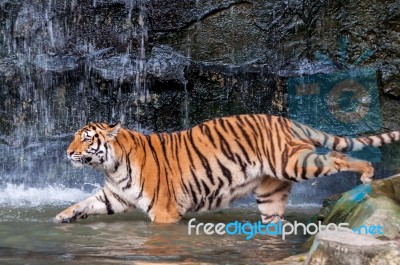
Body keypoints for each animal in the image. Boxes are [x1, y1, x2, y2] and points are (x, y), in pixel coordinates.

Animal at [54, 113, 398, 223]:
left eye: (86, 139)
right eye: (75, 137)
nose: (67, 152)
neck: (111, 166)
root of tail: (288, 120)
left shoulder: (164, 212)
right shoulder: (114, 196)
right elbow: (86, 202)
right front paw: (62, 216)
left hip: (293, 162)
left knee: (337, 157)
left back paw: (368, 172)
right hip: (270, 193)